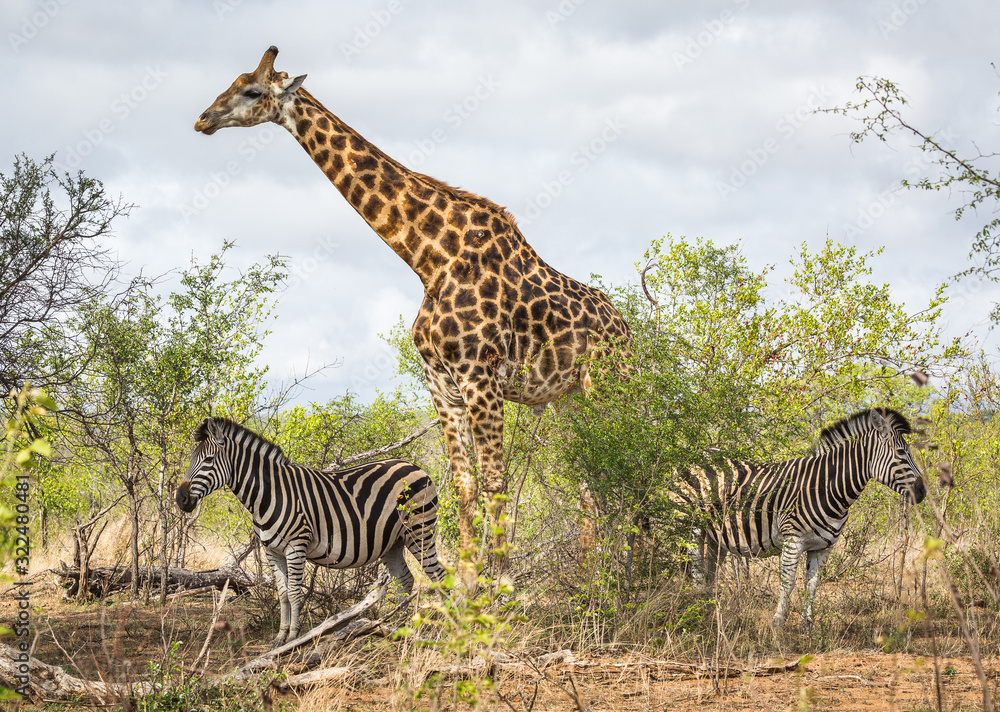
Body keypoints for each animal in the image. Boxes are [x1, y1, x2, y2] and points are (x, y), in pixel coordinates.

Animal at [175, 416, 446, 646]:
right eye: (191, 459)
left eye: (208, 461)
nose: (181, 499)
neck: (269, 495)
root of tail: (413, 465)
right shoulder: (272, 551)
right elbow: (283, 593)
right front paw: (279, 638)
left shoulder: (296, 546)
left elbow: (295, 593)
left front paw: (293, 638)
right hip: (393, 542)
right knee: (406, 580)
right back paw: (397, 629)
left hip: (419, 530)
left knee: (438, 575)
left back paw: (449, 626)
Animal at [194, 46, 630, 559]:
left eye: (252, 90)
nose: (203, 119)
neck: (430, 260)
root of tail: (629, 330)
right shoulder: (442, 383)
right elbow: (465, 487)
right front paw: (468, 578)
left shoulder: (479, 377)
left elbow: (496, 484)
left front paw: (500, 580)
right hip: (569, 400)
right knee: (591, 480)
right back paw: (594, 567)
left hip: (610, 386)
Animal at [672, 408, 926, 629]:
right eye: (901, 453)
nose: (922, 492)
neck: (827, 488)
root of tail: (698, 453)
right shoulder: (793, 540)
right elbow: (788, 582)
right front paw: (778, 624)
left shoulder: (823, 547)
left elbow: (812, 584)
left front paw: (808, 625)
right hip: (690, 525)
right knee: (696, 565)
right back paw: (698, 609)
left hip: (716, 533)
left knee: (710, 569)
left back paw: (707, 608)